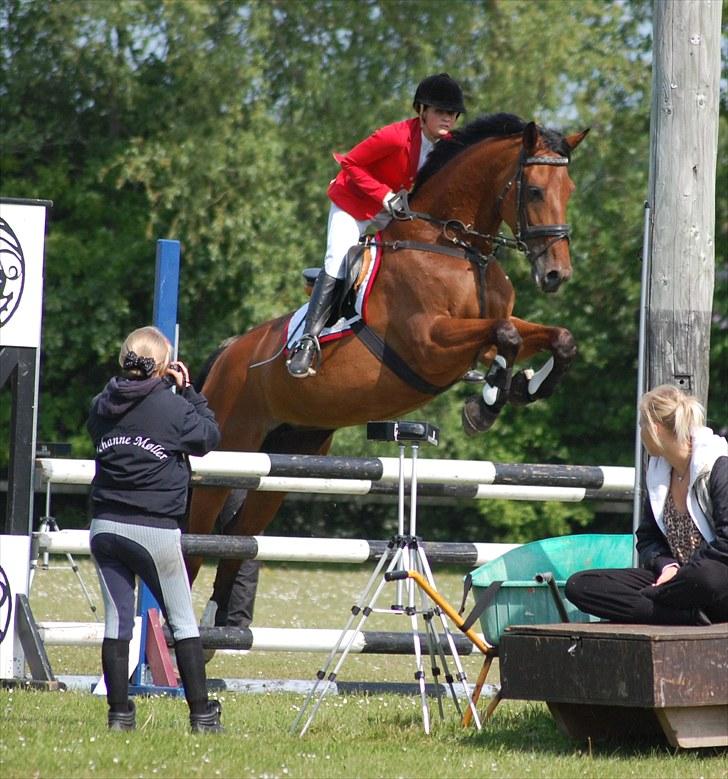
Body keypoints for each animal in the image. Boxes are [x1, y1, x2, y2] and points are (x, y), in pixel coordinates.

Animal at [185, 112, 588, 620]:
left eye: (569, 189)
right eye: (534, 190)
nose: (557, 275)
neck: (455, 247)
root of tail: (229, 352)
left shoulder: (480, 334)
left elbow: (553, 337)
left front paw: (523, 386)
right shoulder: (427, 343)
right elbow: (506, 335)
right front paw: (486, 405)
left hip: (287, 458)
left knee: (239, 541)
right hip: (229, 450)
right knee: (194, 539)